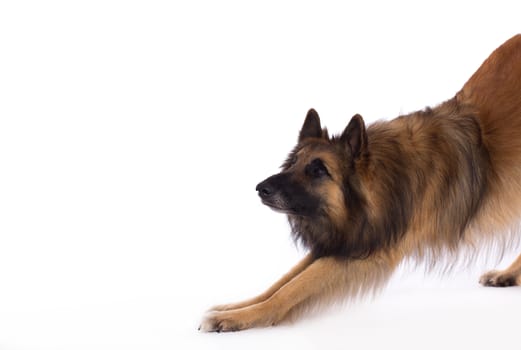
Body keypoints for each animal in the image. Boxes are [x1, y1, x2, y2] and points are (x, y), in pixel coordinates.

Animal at [198, 34, 520, 332]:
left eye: (318, 170)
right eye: (292, 164)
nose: (260, 189)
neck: (381, 178)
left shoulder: (367, 251)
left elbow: (293, 287)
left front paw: (240, 318)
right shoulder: (348, 238)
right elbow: (282, 282)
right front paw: (235, 308)